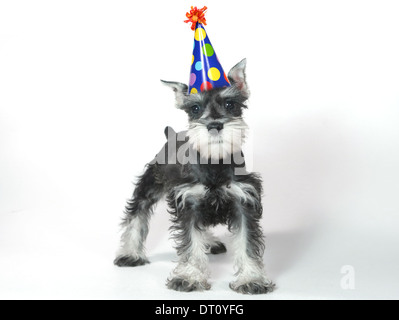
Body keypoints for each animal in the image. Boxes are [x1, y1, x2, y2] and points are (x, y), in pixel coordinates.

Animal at [114, 58, 274, 294]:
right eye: (195, 108)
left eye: (230, 104)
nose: (214, 125)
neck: (215, 163)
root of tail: (172, 135)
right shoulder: (188, 203)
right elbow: (191, 242)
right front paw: (189, 277)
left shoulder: (244, 201)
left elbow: (247, 243)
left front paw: (251, 279)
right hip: (150, 184)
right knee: (137, 213)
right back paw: (130, 253)